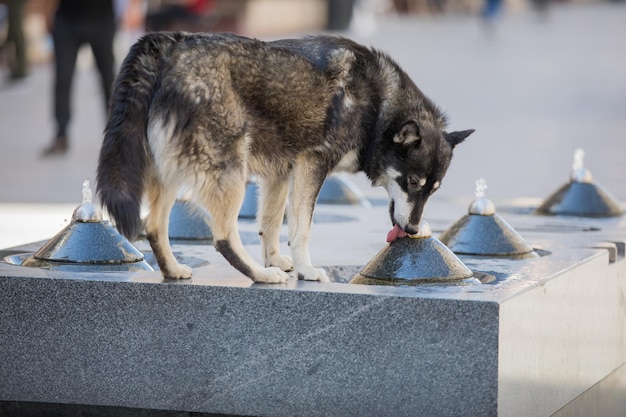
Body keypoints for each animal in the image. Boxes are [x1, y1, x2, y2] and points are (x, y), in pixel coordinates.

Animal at [95, 32, 470, 282]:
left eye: (432, 190)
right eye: (412, 183)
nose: (414, 228)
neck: (378, 105)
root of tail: (171, 44)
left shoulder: (279, 173)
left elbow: (270, 224)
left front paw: (276, 260)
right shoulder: (311, 166)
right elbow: (301, 229)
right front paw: (303, 269)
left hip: (173, 173)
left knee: (154, 226)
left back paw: (173, 270)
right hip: (229, 174)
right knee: (222, 236)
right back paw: (259, 275)